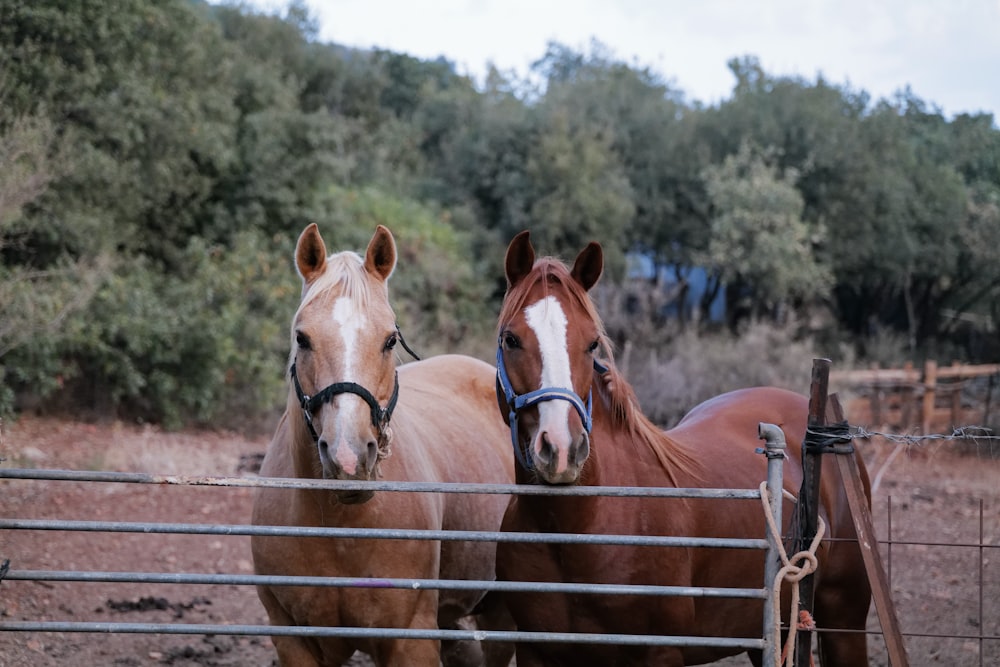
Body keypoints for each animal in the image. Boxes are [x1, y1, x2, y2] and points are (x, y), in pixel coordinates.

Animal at [250, 226, 516, 667]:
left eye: (391, 340)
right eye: (302, 338)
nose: (348, 458)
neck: (340, 528)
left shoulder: (410, 641)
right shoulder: (295, 641)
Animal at [496, 231, 872, 667]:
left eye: (592, 344)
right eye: (511, 339)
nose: (561, 448)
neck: (583, 525)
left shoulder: (660, 653)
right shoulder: (536, 651)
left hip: (844, 619)